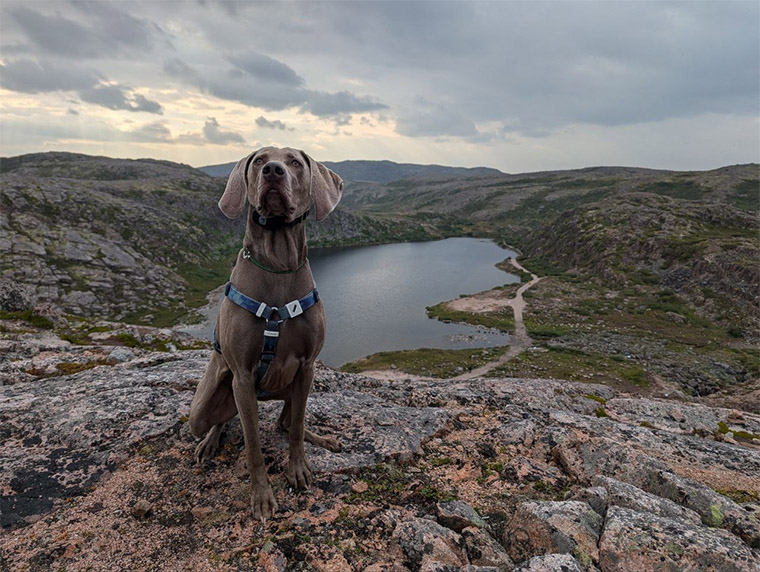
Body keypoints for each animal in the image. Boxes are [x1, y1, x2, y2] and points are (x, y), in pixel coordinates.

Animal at [190, 145, 344, 520]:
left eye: (295, 162)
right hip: (203, 406)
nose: (273, 171)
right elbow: (253, 445)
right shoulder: (243, 378)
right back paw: (209, 442)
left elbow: (297, 429)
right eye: (259, 160)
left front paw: (298, 469)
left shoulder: (307, 367)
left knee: (287, 424)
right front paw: (261, 496)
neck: (278, 266)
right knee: (219, 421)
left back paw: (322, 438)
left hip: (294, 388)